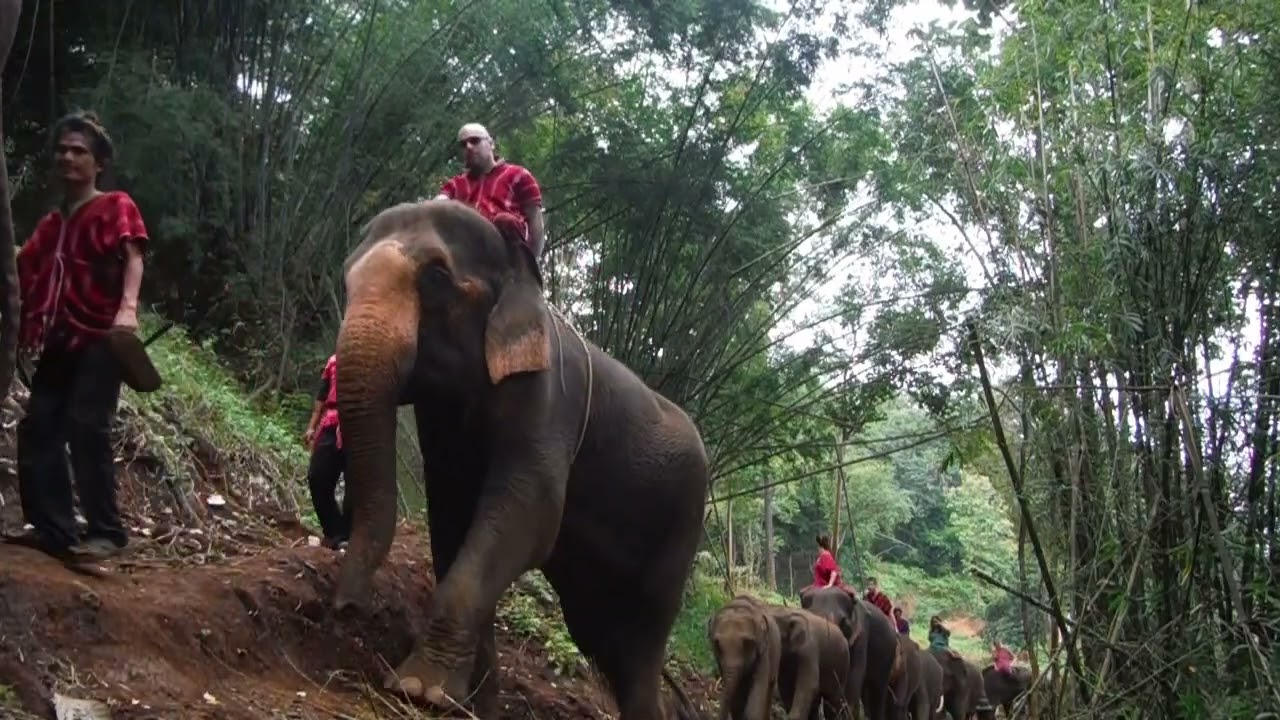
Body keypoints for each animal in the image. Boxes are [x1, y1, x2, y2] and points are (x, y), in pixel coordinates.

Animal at [330, 200, 710, 720]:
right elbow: (451, 520)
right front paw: (469, 704)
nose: (347, 609)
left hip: (682, 526)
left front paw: (416, 689)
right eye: (346, 275)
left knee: (640, 641)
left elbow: (528, 515)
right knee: (600, 635)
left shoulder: (549, 402)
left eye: (437, 278)